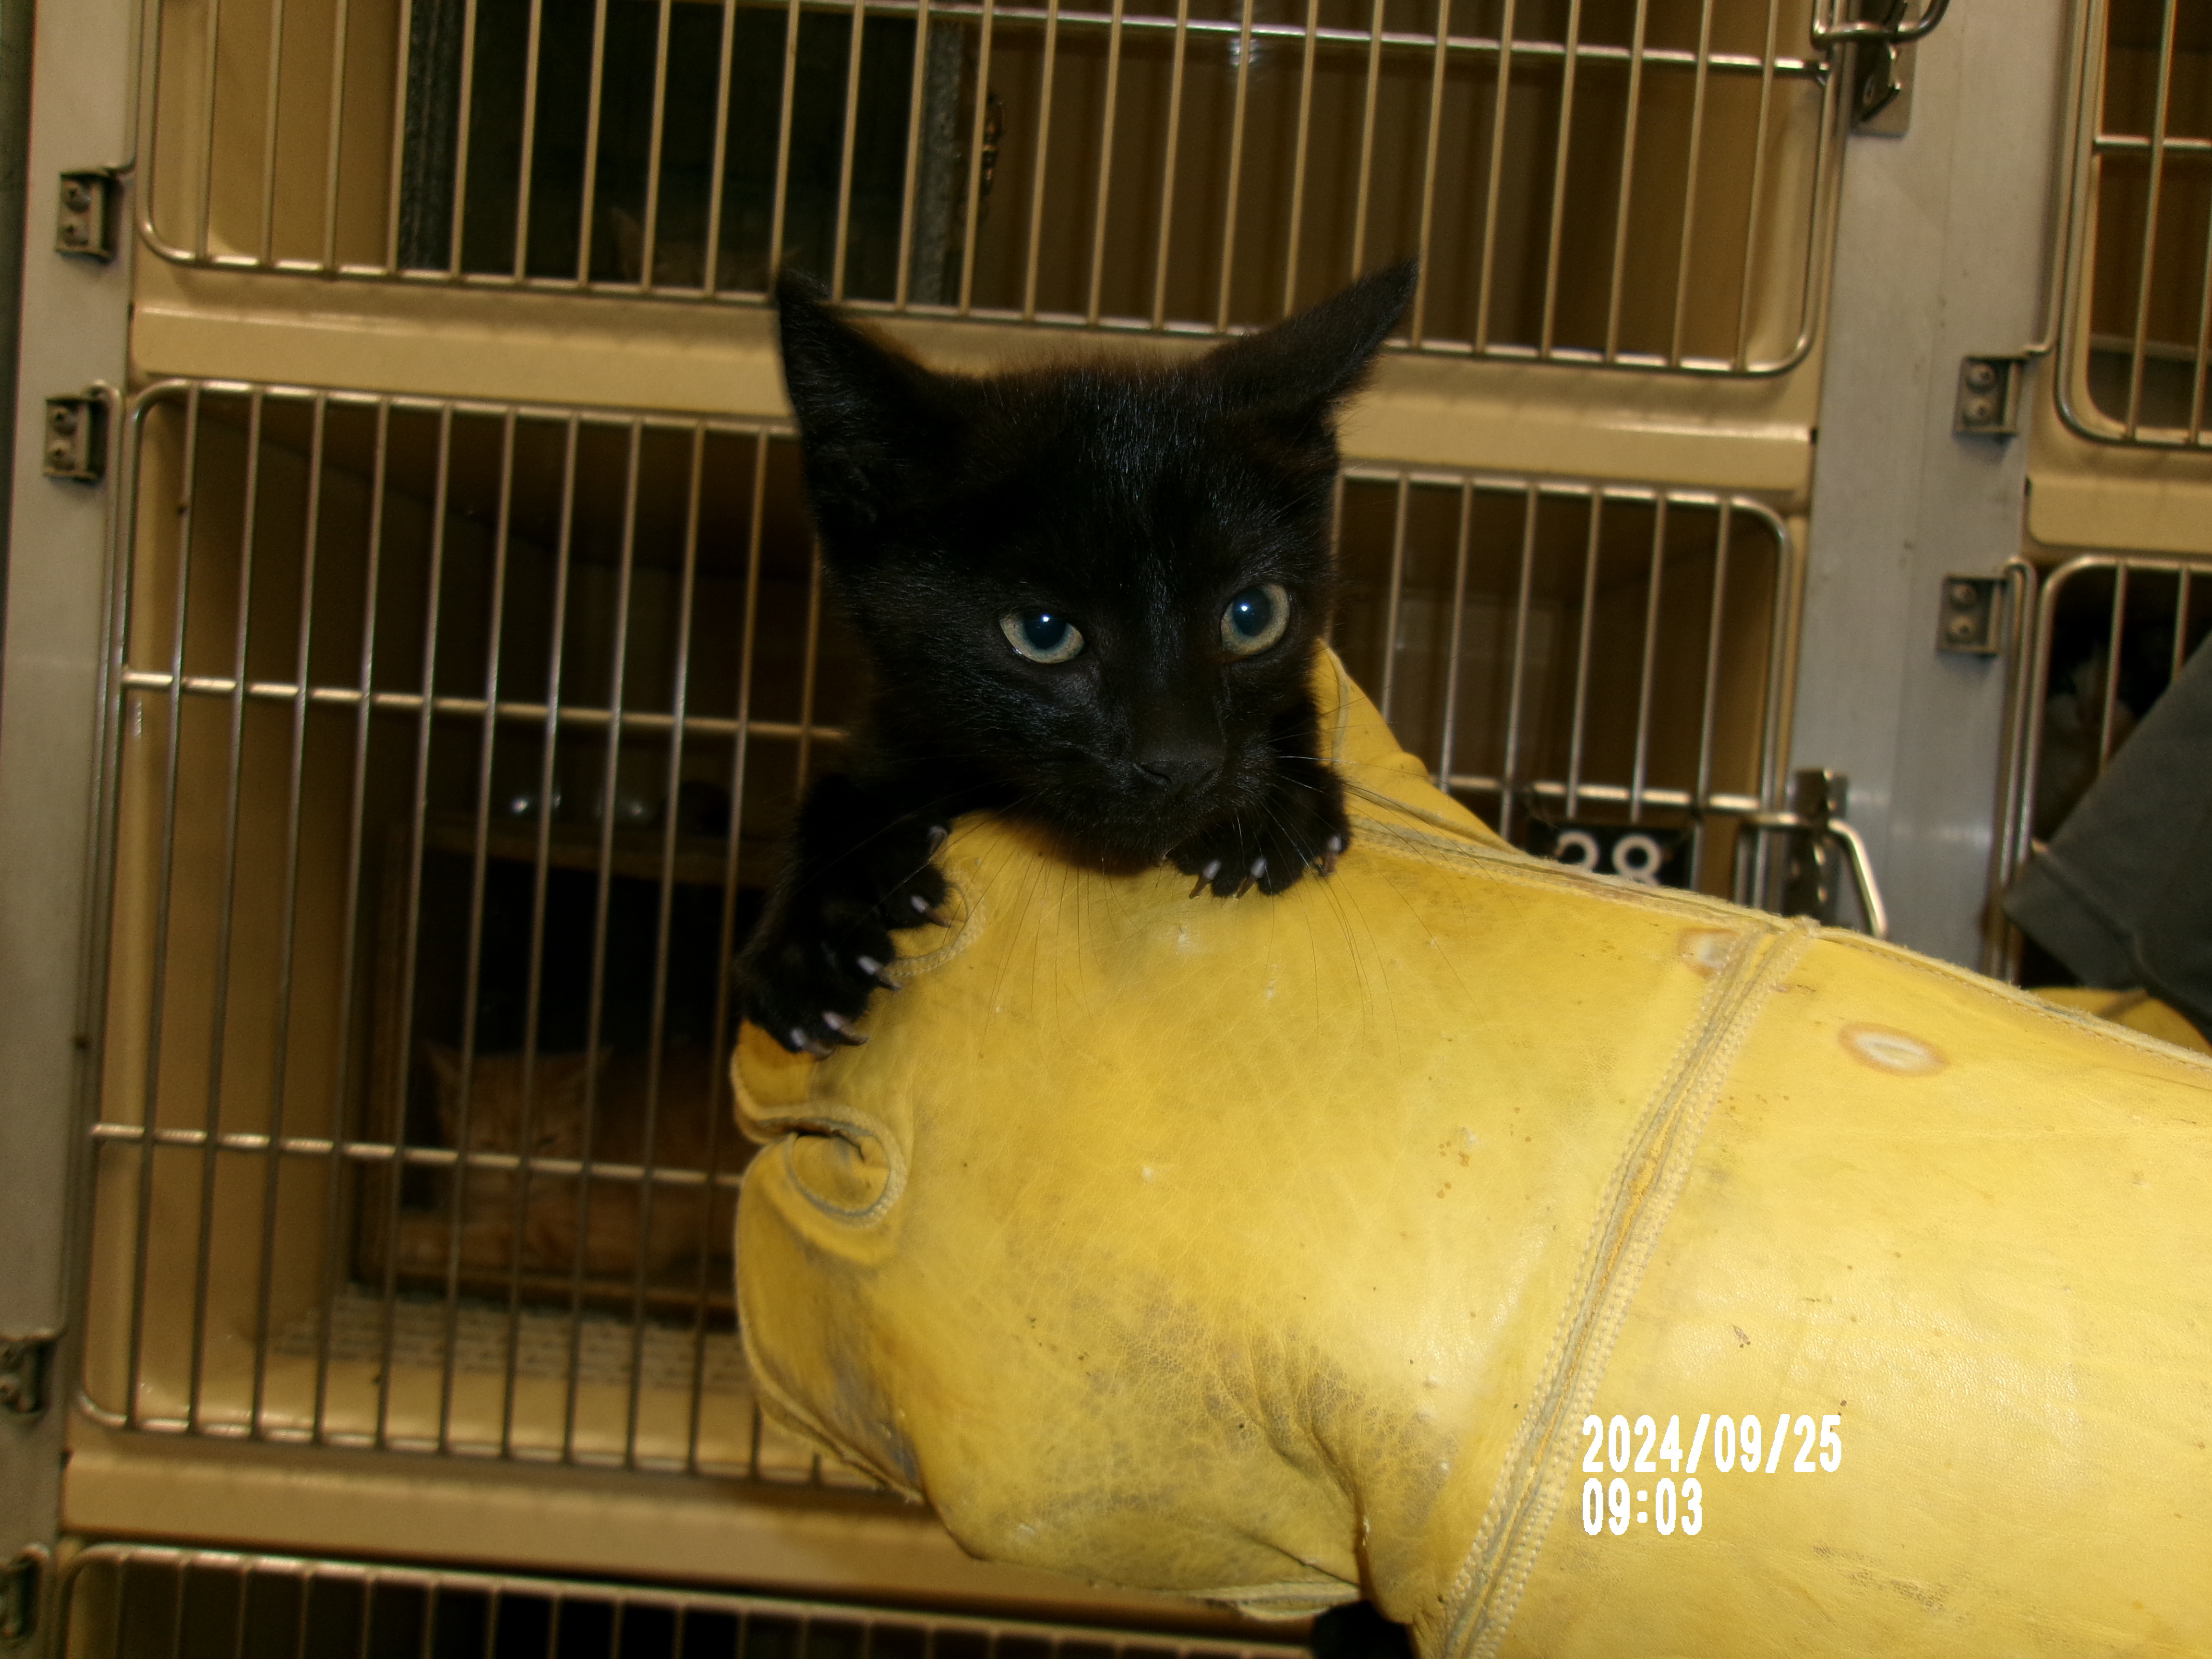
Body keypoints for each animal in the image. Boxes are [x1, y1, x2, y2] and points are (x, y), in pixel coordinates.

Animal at [743, 266, 1416, 1057]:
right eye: (1042, 633)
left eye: (1253, 615)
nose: (1182, 762)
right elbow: (841, 785)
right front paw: (820, 922)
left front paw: (1271, 811)